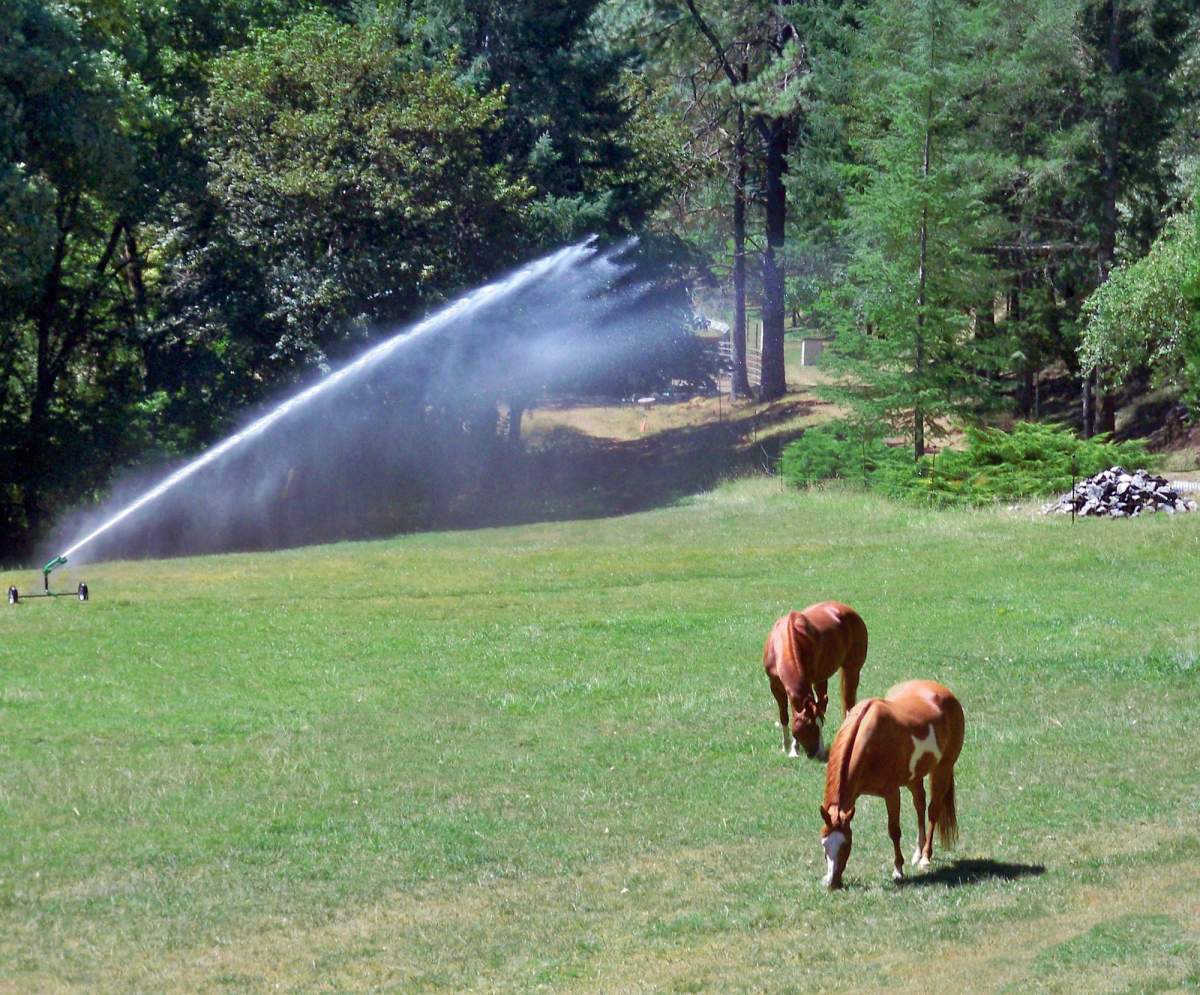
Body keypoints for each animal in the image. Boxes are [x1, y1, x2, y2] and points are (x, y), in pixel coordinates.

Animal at [763, 602, 868, 760]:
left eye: (820, 725)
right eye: (810, 728)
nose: (820, 754)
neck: (783, 642)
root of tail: (849, 610)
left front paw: (793, 749)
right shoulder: (775, 685)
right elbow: (784, 715)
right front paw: (787, 747)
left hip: (852, 670)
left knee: (848, 703)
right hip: (822, 679)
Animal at [819, 679, 964, 889]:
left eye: (845, 844)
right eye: (824, 844)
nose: (832, 883)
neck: (870, 741)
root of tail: (945, 692)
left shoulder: (891, 793)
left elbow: (894, 830)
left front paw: (898, 870)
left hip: (942, 769)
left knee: (933, 810)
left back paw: (925, 857)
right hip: (914, 777)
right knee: (920, 805)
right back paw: (918, 853)